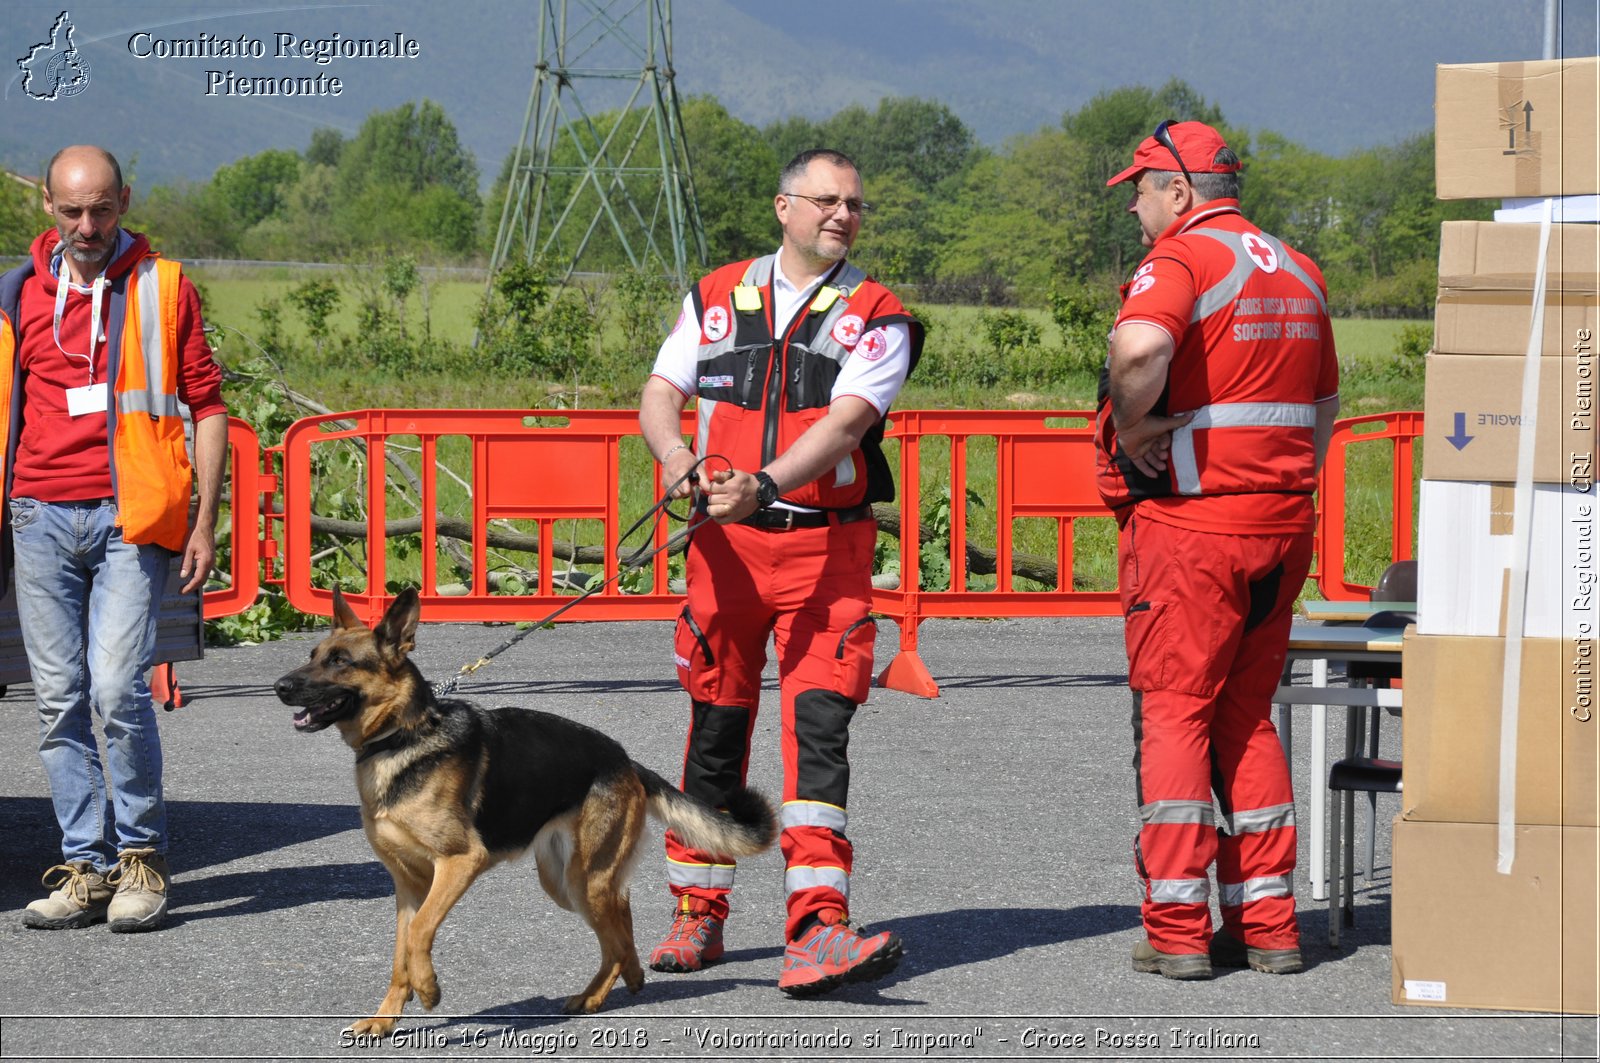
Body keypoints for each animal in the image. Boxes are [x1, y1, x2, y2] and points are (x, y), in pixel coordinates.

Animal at [275, 585, 774, 1030]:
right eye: (314, 654)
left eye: (341, 661)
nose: (280, 686)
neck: (403, 736)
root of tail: (623, 758)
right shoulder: (408, 886)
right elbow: (400, 954)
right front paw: (385, 1018)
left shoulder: (459, 862)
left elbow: (419, 935)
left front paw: (430, 988)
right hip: (565, 881)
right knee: (621, 915)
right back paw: (623, 979)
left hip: (582, 880)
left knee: (614, 934)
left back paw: (597, 994)